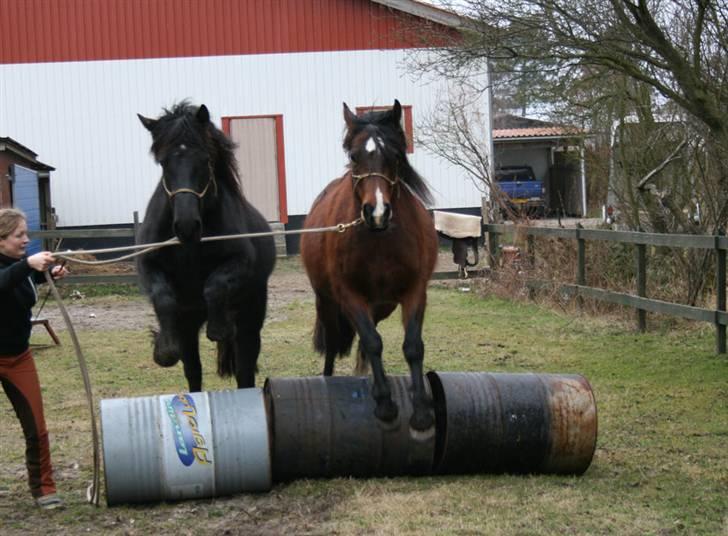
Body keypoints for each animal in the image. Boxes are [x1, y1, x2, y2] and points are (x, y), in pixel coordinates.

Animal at [135, 102, 274, 392]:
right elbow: (163, 297)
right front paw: (164, 349)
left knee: (245, 372)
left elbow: (214, 285)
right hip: (190, 328)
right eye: (163, 162)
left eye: (206, 160)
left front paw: (220, 328)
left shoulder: (240, 262)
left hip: (251, 319)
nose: (187, 225)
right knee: (194, 372)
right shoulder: (148, 266)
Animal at [300, 99, 438, 436]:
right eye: (353, 156)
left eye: (396, 155)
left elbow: (412, 346)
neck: (380, 240)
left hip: (382, 305)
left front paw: (422, 412)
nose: (377, 212)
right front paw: (386, 407)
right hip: (327, 302)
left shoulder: (415, 292)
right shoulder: (350, 295)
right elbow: (373, 343)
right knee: (337, 340)